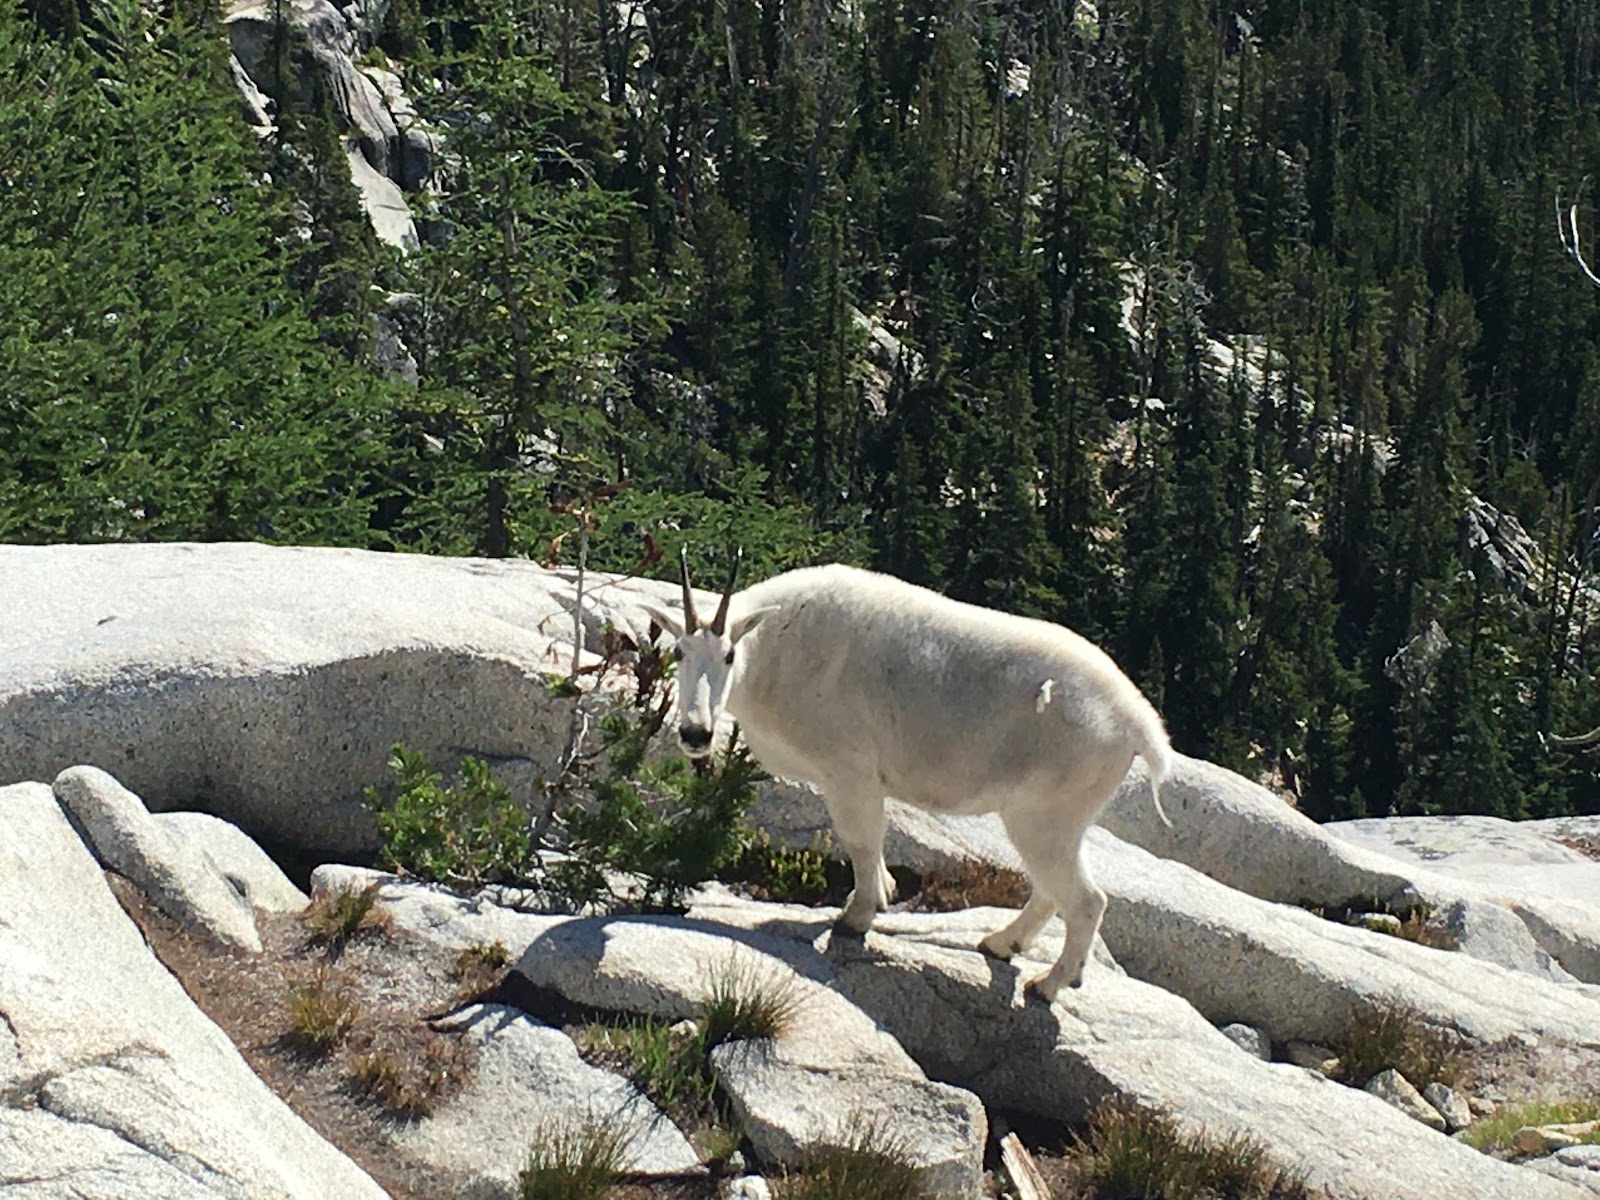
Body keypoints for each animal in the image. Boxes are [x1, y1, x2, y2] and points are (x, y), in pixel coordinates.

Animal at [639, 550, 1173, 1002]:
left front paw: (856, 916)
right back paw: (1001, 944)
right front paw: (884, 893)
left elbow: (859, 839)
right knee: (1051, 890)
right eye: (679, 652)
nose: (695, 733)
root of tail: (1140, 727)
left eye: (729, 655)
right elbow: (875, 840)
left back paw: (1048, 984)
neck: (775, 650)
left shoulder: (848, 769)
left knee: (1086, 899)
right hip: (1060, 818)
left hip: (1046, 813)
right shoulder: (865, 780)